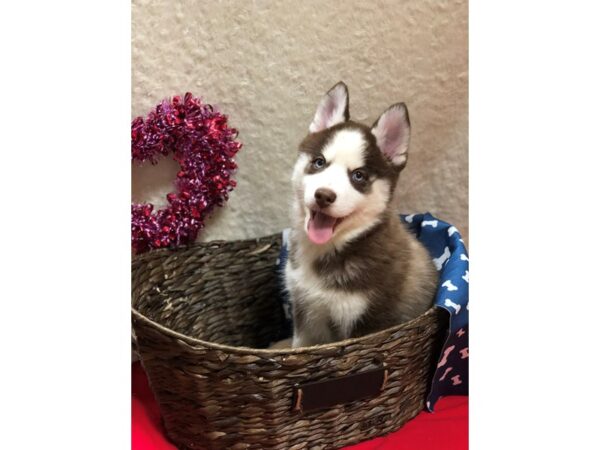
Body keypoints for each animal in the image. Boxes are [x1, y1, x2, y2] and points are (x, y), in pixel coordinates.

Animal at [284, 81, 438, 348]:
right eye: (319, 162)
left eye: (358, 176)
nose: (323, 196)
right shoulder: (303, 313)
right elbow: (297, 347)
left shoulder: (369, 322)